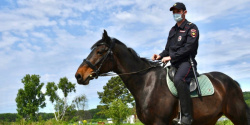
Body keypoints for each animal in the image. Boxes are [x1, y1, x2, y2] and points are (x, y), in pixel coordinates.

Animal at [75, 30, 249, 125]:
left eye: (100, 51)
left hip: (238, 116)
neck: (146, 84)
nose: (79, 75)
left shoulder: (159, 122)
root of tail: (232, 82)